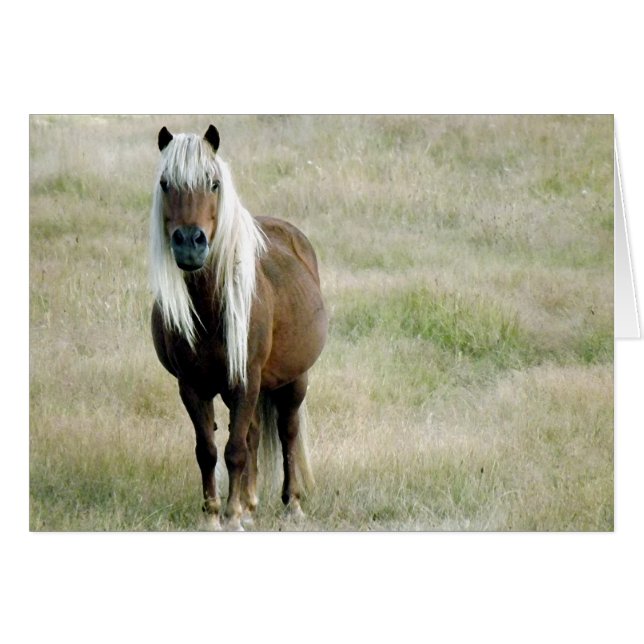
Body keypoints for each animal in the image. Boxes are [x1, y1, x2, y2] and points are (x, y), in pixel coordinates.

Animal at [149, 125, 328, 530]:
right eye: (166, 183)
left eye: (213, 183)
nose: (189, 243)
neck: (210, 309)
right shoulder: (192, 387)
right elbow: (208, 450)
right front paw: (216, 515)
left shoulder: (246, 380)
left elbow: (235, 450)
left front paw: (230, 516)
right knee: (254, 435)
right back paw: (250, 504)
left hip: (295, 379)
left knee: (286, 432)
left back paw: (291, 504)